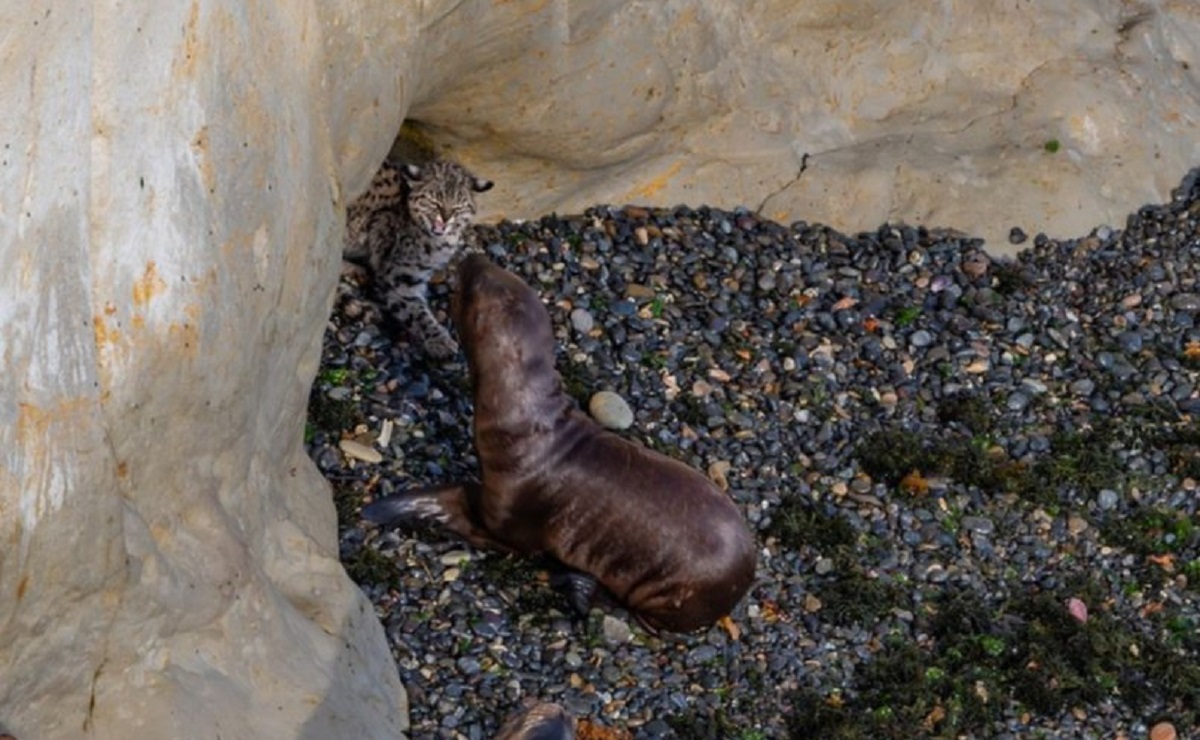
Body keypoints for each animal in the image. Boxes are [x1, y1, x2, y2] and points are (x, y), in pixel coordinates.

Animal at [345, 160, 494, 359]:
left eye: (458, 207)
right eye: (434, 202)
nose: (445, 219)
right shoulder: (398, 278)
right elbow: (416, 311)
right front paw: (438, 340)